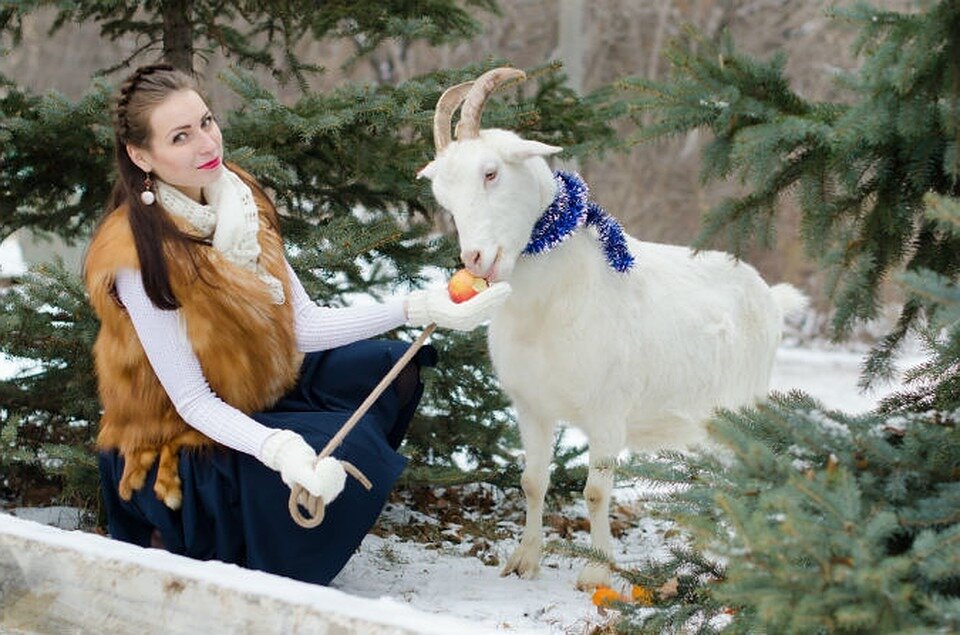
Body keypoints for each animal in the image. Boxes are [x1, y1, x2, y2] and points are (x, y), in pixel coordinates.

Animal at [417, 67, 807, 589]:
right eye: (444, 196)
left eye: (491, 172)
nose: (476, 258)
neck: (551, 303)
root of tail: (770, 297)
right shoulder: (532, 408)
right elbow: (532, 482)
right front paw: (524, 561)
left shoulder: (607, 413)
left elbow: (596, 492)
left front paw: (596, 570)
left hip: (743, 409)